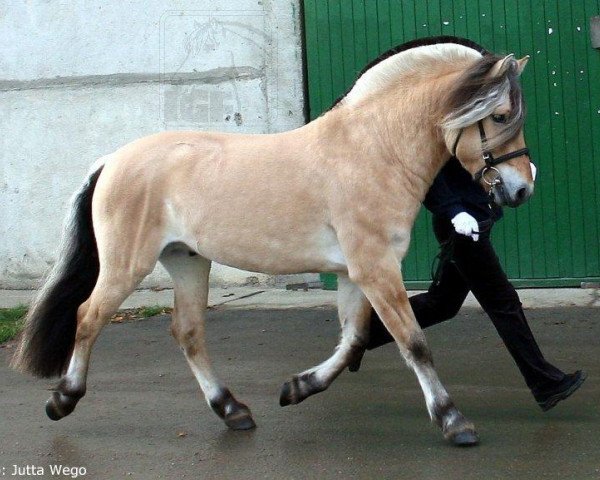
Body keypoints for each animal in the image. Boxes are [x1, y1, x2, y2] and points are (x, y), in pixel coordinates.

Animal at [11, 37, 532, 446]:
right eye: (501, 115)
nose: (522, 188)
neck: (371, 151)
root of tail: (112, 160)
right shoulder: (376, 268)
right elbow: (413, 342)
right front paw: (453, 421)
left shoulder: (354, 273)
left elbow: (354, 341)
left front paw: (297, 388)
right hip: (126, 265)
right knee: (88, 317)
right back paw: (63, 399)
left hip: (188, 262)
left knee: (188, 332)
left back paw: (232, 410)